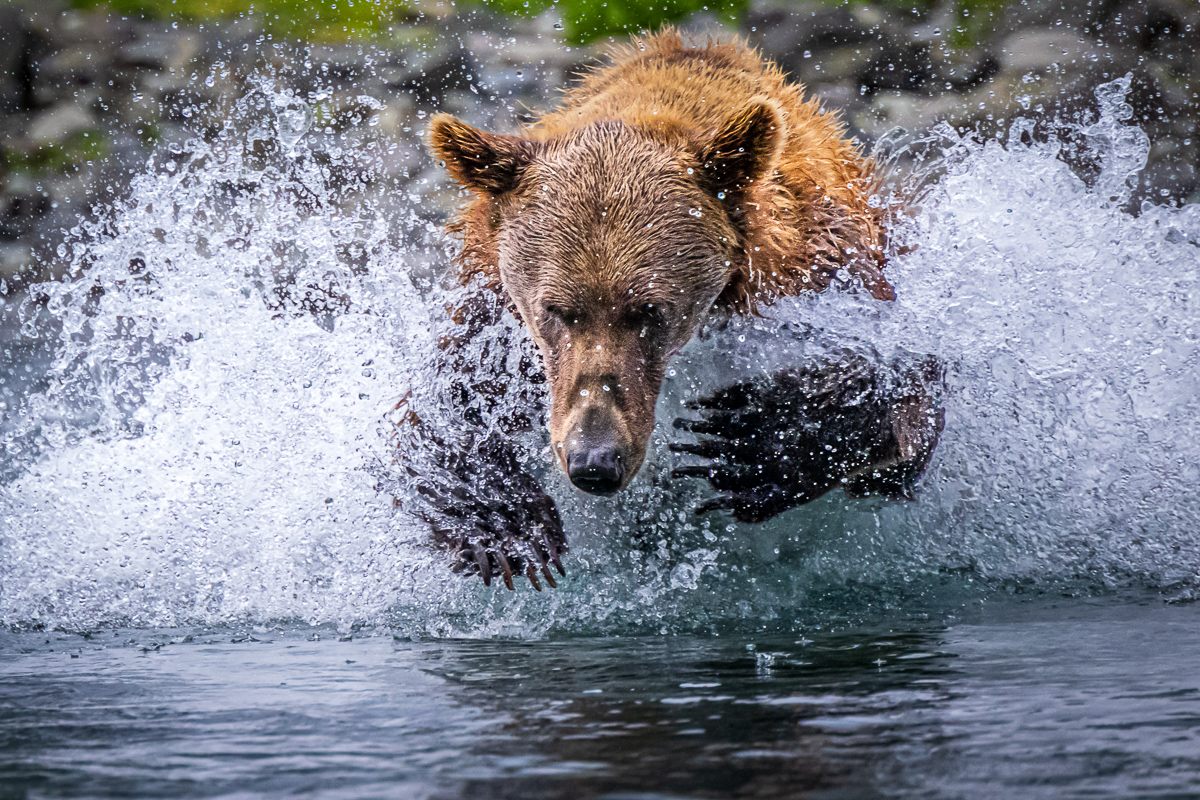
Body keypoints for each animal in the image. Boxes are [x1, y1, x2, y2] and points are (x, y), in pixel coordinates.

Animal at [403, 29, 945, 587]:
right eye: (556, 310)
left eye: (648, 310)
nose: (595, 460)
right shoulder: (496, 311)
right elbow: (448, 403)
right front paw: (502, 520)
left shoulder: (822, 268)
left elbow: (905, 395)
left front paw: (751, 438)